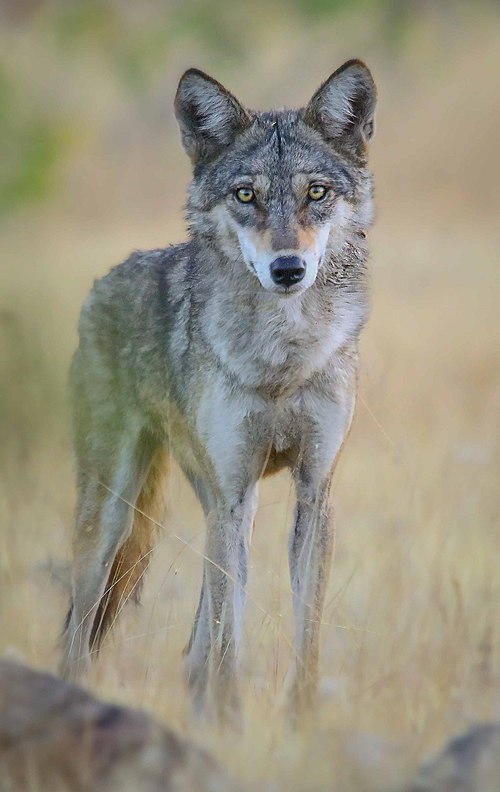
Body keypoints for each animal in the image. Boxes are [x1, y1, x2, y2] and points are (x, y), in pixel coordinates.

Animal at [59, 60, 377, 722]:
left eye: (316, 193)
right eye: (245, 195)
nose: (288, 269)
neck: (282, 356)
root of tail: (103, 281)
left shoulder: (313, 491)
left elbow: (302, 629)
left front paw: (298, 719)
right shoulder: (233, 491)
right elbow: (233, 633)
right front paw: (232, 722)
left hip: (228, 505)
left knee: (194, 640)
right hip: (115, 513)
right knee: (79, 630)